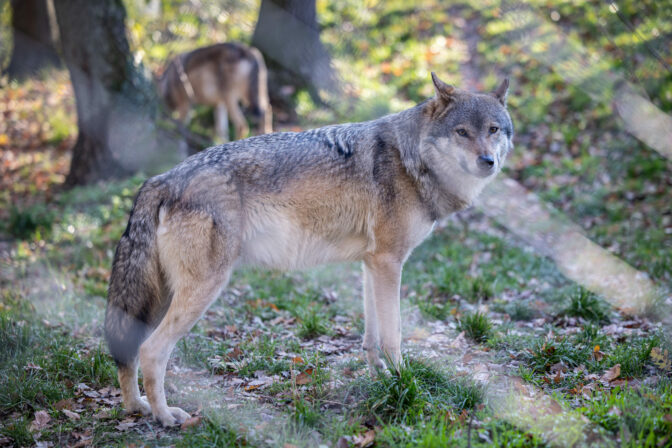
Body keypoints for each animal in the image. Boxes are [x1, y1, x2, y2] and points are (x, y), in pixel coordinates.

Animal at [106, 72, 516, 426]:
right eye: (462, 132)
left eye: (493, 130)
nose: (487, 161)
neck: (411, 159)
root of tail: (162, 178)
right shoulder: (389, 262)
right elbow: (394, 335)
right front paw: (404, 381)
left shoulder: (372, 264)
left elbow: (371, 337)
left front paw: (381, 378)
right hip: (200, 290)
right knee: (151, 351)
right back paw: (164, 416)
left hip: (159, 296)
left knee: (129, 350)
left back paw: (136, 407)